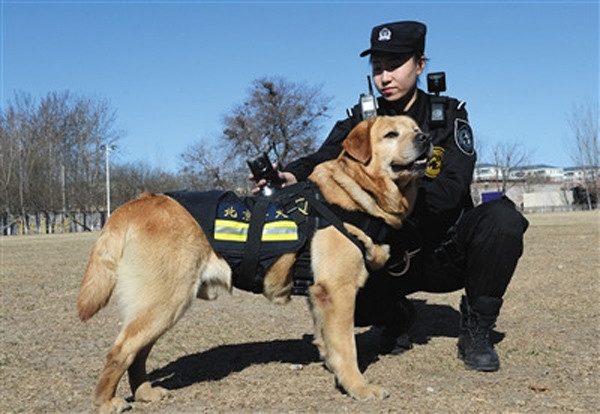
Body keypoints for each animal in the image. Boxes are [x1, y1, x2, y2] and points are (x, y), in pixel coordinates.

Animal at [77, 115, 432, 412]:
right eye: (390, 134)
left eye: (415, 128)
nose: (426, 137)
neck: (351, 194)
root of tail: (133, 204)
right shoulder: (338, 292)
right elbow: (347, 349)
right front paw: (358, 387)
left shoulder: (318, 295)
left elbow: (327, 341)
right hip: (165, 301)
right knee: (120, 351)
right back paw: (106, 402)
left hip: (161, 305)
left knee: (137, 353)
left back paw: (144, 393)